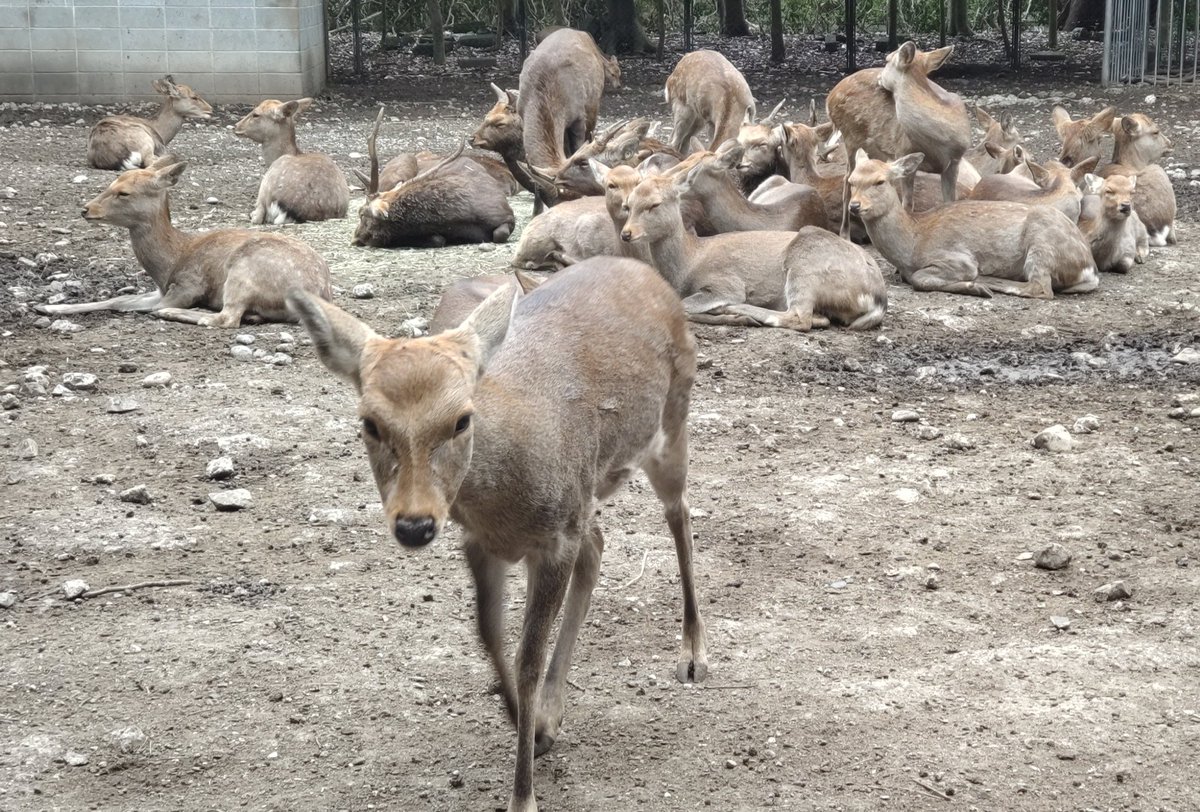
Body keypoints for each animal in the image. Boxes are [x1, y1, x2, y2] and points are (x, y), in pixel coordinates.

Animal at [34, 159, 330, 327]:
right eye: (111, 182)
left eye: (124, 192)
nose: (86, 209)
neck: (168, 265)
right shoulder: (162, 289)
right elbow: (120, 298)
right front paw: (46, 306)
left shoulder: (188, 286)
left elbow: (137, 305)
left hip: (244, 272)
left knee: (225, 319)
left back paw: (173, 315)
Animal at [288, 256, 708, 812]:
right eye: (370, 423)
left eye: (462, 419)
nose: (415, 524)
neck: (502, 502)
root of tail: (644, 270)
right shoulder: (486, 543)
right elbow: (488, 633)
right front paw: (533, 728)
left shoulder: (553, 539)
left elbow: (527, 659)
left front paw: (523, 795)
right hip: (587, 494)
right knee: (599, 545)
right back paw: (553, 709)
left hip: (672, 422)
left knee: (680, 514)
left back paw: (693, 654)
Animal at [621, 168, 887, 331]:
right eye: (628, 204)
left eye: (654, 204)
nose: (626, 233)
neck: (689, 263)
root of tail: (878, 297)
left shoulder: (724, 283)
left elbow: (685, 304)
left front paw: (731, 314)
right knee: (815, 318)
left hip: (806, 264)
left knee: (799, 317)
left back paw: (740, 311)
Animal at [828, 41, 971, 236]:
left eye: (887, 59)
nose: (879, 77)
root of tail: (830, 97)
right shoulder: (904, 151)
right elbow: (908, 204)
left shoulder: (955, 160)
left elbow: (950, 201)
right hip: (850, 136)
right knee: (846, 182)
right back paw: (845, 233)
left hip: (874, 149)